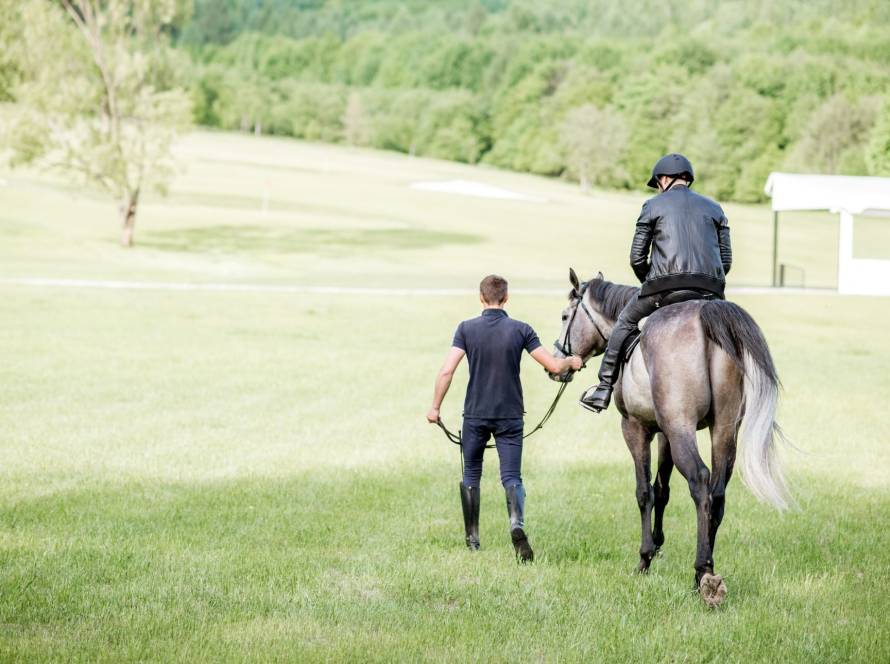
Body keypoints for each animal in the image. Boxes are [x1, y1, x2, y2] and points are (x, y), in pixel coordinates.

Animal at [550, 269, 789, 606]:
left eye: (564, 316)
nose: (557, 366)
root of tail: (708, 313)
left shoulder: (636, 428)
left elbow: (644, 492)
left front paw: (645, 557)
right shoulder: (665, 434)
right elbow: (662, 490)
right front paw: (659, 543)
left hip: (681, 427)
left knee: (699, 481)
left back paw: (702, 573)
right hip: (722, 429)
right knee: (716, 493)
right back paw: (708, 569)